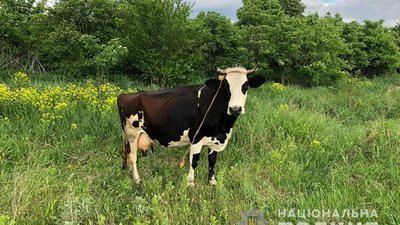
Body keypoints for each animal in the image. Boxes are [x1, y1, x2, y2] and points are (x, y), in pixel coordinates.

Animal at [116, 66, 266, 185]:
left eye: (245, 86)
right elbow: (194, 161)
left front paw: (212, 182)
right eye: (225, 87)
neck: (224, 127)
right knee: (132, 156)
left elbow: (212, 160)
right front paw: (190, 183)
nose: (235, 109)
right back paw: (137, 180)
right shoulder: (196, 138)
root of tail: (125, 94)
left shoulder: (215, 139)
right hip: (132, 133)